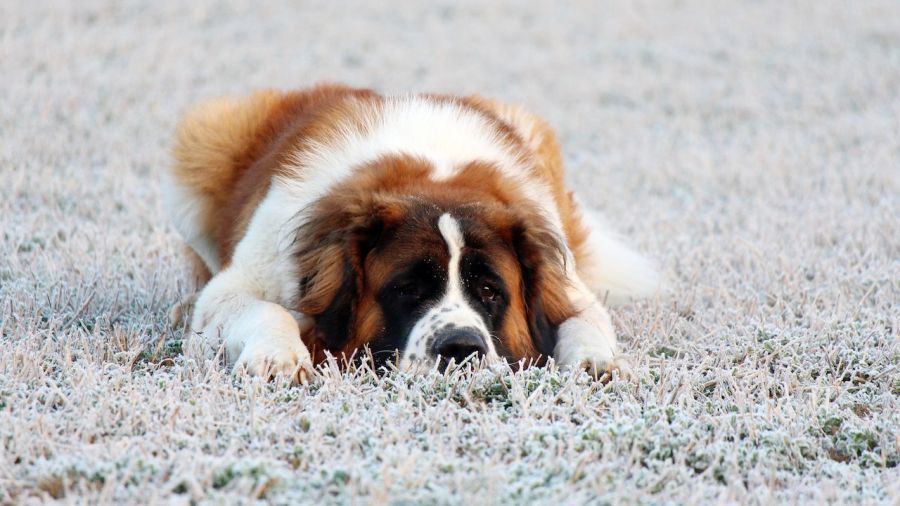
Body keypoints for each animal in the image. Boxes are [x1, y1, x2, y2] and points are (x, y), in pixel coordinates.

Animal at [163, 84, 652, 384]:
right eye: (408, 288)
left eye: (490, 291)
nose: (462, 348)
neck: (433, 172)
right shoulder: (244, 282)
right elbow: (262, 308)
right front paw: (278, 358)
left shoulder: (568, 288)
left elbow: (583, 319)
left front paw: (598, 362)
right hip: (203, 140)